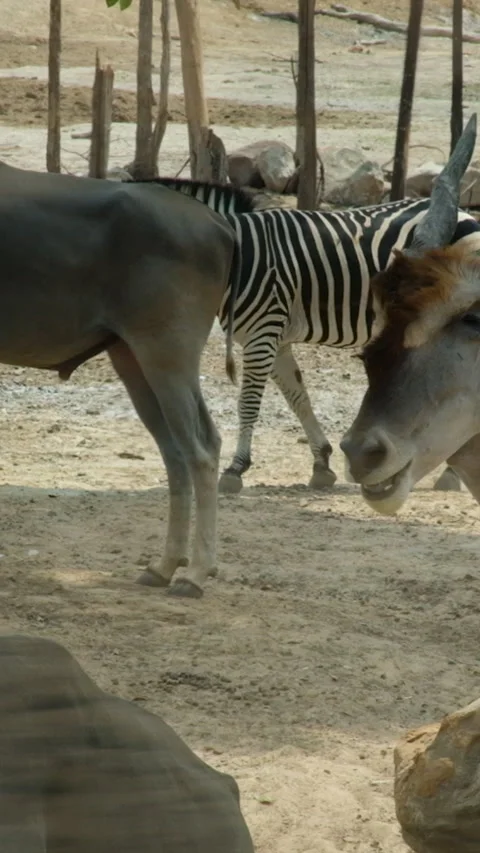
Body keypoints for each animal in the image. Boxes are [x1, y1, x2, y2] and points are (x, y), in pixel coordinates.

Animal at [136, 176, 480, 494]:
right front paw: (322, 464)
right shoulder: (271, 338)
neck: (239, 258)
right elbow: (298, 398)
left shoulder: (263, 332)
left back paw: (451, 476)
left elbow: (248, 402)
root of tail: (466, 213)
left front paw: (235, 469)